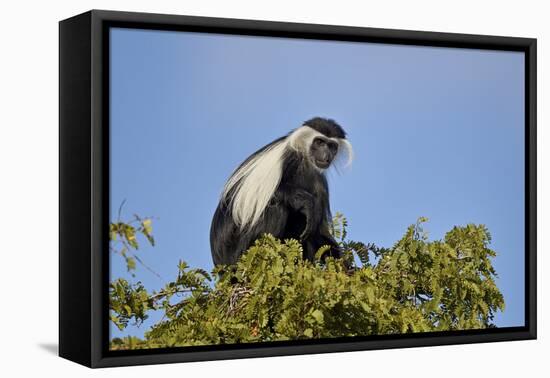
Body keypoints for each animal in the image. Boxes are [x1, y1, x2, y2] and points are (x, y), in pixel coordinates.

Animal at [211, 116, 354, 266]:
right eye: (319, 142)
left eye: (332, 146)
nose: (326, 155)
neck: (304, 159)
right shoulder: (285, 158)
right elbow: (260, 195)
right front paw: (304, 200)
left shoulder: (319, 182)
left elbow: (318, 232)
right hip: (238, 248)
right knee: (277, 208)